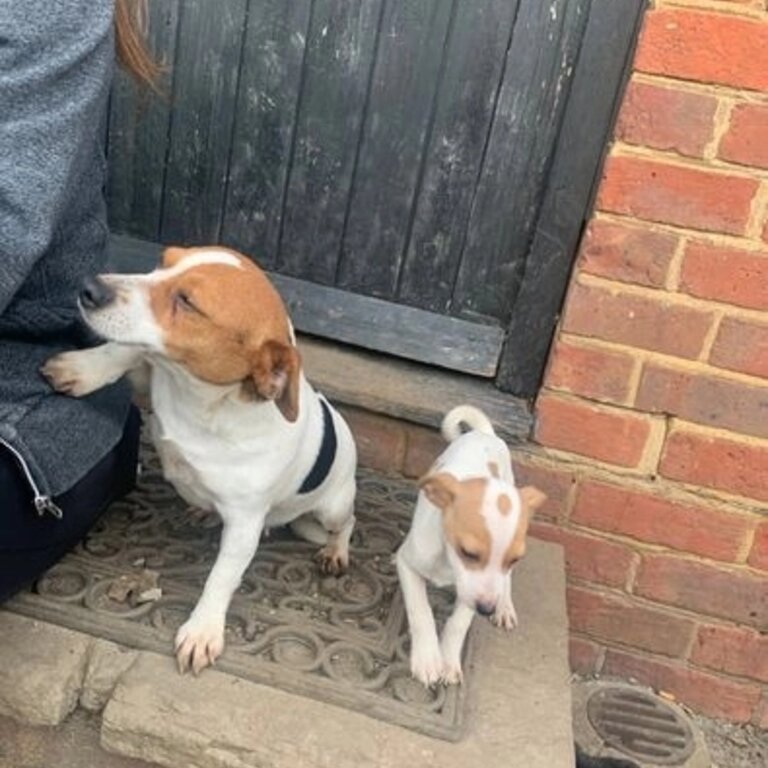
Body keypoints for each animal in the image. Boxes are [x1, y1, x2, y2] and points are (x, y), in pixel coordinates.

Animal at [44, 246, 360, 672]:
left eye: (188, 302)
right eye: (163, 261)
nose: (90, 287)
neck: (203, 404)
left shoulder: (243, 525)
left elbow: (221, 578)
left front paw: (203, 629)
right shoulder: (152, 374)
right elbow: (128, 350)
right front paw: (83, 368)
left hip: (333, 507)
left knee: (346, 523)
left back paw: (336, 551)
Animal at [396, 404, 544, 688]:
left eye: (515, 559)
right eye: (468, 553)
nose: (487, 610)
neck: (447, 563)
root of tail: (485, 434)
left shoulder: (474, 592)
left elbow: (458, 624)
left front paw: (448, 660)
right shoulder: (406, 563)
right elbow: (421, 611)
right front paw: (428, 659)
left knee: (505, 583)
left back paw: (505, 607)